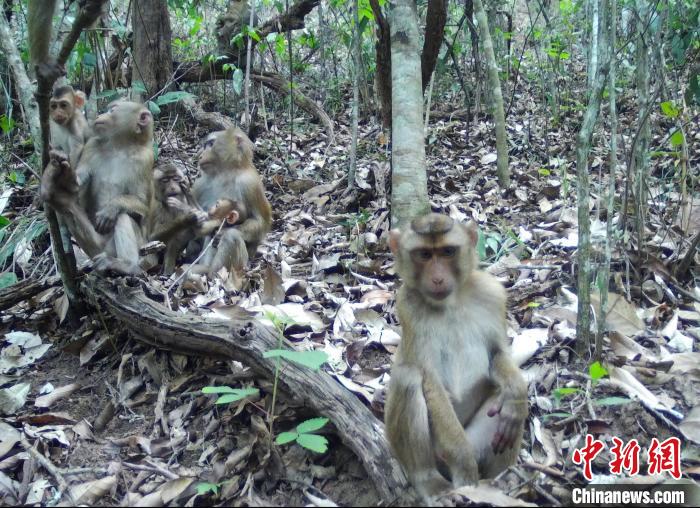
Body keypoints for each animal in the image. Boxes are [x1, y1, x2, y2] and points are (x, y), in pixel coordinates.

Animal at [191, 126, 270, 278]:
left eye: (211, 144)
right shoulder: (200, 185)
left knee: (231, 237)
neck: (225, 174)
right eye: (205, 145)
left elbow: (261, 223)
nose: (200, 155)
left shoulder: (250, 184)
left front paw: (222, 232)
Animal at [386, 212, 528, 502]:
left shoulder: (492, 295)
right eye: (424, 255)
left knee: (502, 403)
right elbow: (429, 380)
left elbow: (497, 354)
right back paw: (430, 481)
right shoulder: (407, 307)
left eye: (448, 252)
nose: (438, 279)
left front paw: (517, 394)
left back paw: (501, 478)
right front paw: (463, 464)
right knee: (408, 378)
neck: (449, 303)